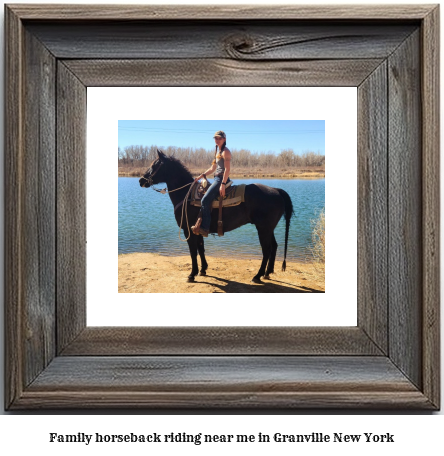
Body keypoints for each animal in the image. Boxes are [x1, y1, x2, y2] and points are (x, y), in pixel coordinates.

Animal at [140, 151, 294, 284]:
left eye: (155, 165)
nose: (141, 180)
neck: (186, 195)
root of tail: (276, 191)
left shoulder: (188, 230)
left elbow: (193, 251)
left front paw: (192, 274)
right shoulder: (197, 229)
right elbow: (201, 248)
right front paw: (203, 270)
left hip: (263, 229)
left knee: (266, 249)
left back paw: (257, 276)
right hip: (268, 229)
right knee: (274, 246)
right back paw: (267, 273)